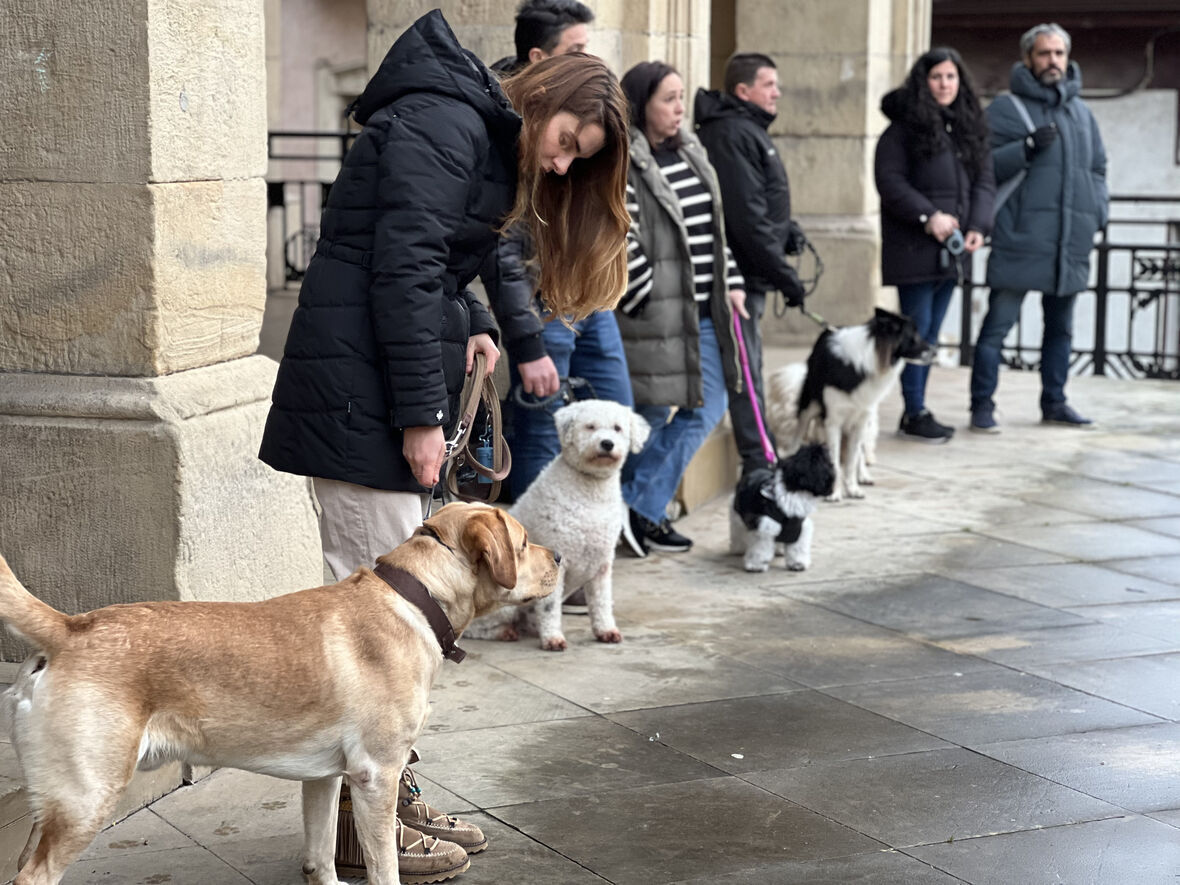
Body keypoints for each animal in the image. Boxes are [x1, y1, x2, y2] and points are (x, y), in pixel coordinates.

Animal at [0, 505, 559, 885]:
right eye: (524, 542)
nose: (559, 555)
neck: (417, 598)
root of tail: (70, 627)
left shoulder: (326, 777)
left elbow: (322, 854)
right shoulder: (377, 776)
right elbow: (383, 867)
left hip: (55, 801)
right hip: (86, 798)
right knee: (33, 875)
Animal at [464, 401, 651, 651]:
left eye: (617, 428)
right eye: (590, 426)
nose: (607, 443)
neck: (591, 494)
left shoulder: (602, 565)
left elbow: (601, 602)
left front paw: (606, 631)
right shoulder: (558, 561)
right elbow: (550, 606)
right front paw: (553, 638)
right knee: (475, 627)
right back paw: (503, 632)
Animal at [726, 443, 840, 575]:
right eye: (827, 461)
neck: (793, 489)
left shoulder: (798, 527)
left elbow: (797, 547)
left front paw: (798, 563)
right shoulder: (764, 526)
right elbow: (760, 548)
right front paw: (756, 565)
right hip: (735, 513)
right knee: (737, 532)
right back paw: (737, 549)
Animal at [769, 309, 934, 502]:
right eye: (913, 336)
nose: (935, 351)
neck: (865, 364)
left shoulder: (860, 419)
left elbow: (852, 459)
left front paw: (852, 488)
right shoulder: (833, 421)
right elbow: (834, 460)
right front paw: (834, 492)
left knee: (859, 451)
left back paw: (863, 475)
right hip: (810, 404)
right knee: (800, 430)